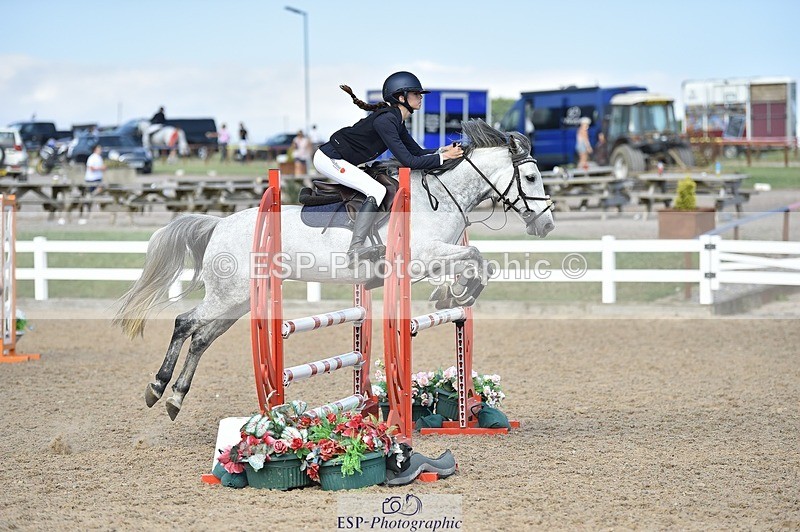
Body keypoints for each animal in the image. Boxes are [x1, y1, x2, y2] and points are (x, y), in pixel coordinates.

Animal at [114, 119, 556, 420]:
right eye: (532, 176)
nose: (547, 225)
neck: (441, 197)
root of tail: (218, 224)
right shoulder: (422, 255)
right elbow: (477, 256)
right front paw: (458, 293)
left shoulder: (431, 258)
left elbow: (475, 259)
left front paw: (453, 293)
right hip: (229, 295)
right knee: (185, 323)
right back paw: (157, 387)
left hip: (237, 302)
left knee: (202, 337)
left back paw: (174, 397)